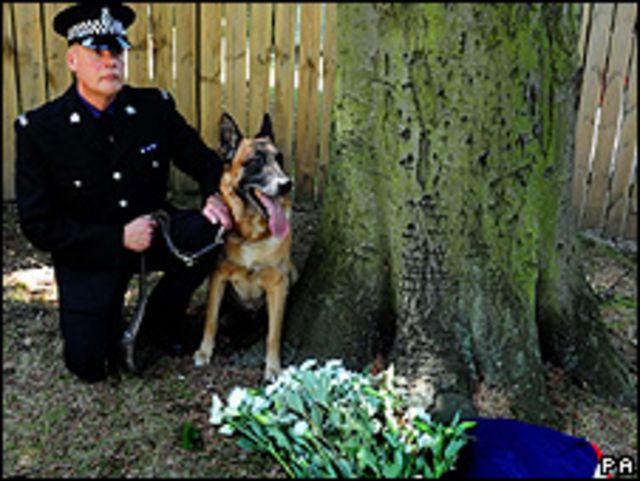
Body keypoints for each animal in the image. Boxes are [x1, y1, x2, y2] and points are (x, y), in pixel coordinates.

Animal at [194, 111, 296, 378]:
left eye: (279, 159)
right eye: (255, 162)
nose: (287, 184)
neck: (252, 235)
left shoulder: (278, 285)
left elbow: (274, 333)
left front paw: (273, 367)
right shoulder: (218, 276)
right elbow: (210, 319)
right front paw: (204, 351)